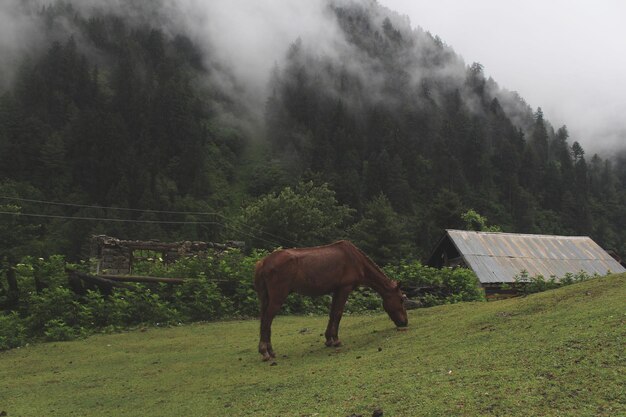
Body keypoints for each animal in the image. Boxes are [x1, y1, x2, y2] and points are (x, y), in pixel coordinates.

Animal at [251, 240, 408, 360]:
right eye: (401, 299)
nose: (405, 322)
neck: (355, 259)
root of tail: (262, 263)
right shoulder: (344, 288)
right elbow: (338, 313)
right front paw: (336, 340)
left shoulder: (336, 290)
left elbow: (332, 314)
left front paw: (328, 339)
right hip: (277, 298)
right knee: (267, 320)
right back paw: (265, 351)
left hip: (265, 298)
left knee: (264, 321)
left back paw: (269, 350)